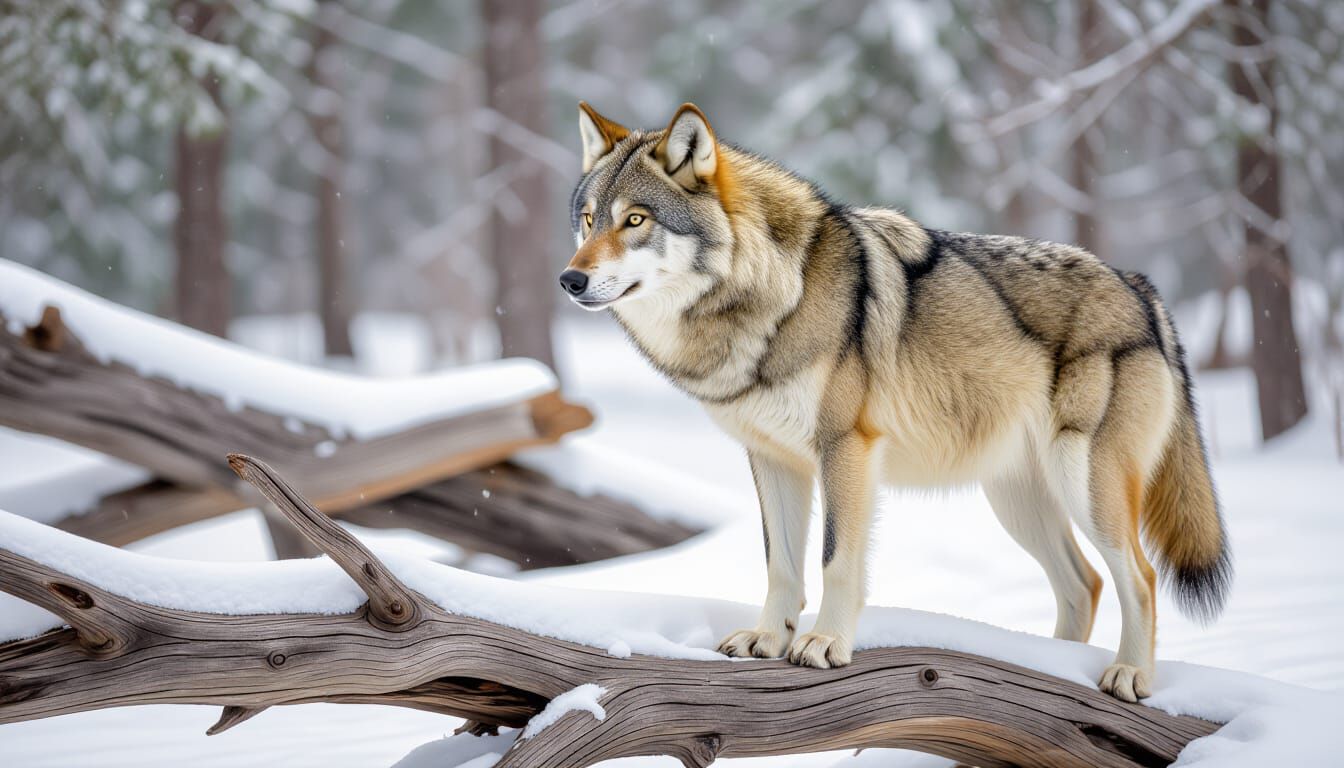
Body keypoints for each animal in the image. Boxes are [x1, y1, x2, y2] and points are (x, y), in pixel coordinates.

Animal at [559, 102, 1232, 702]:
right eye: (589, 220)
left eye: (636, 221)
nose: (570, 280)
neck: (772, 297)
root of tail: (1141, 287)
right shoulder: (771, 458)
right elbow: (781, 563)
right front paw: (767, 640)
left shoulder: (846, 449)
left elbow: (835, 560)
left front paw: (825, 644)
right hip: (1016, 501)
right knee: (1083, 584)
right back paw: (1050, 669)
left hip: (1083, 482)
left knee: (1139, 577)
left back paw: (1130, 676)